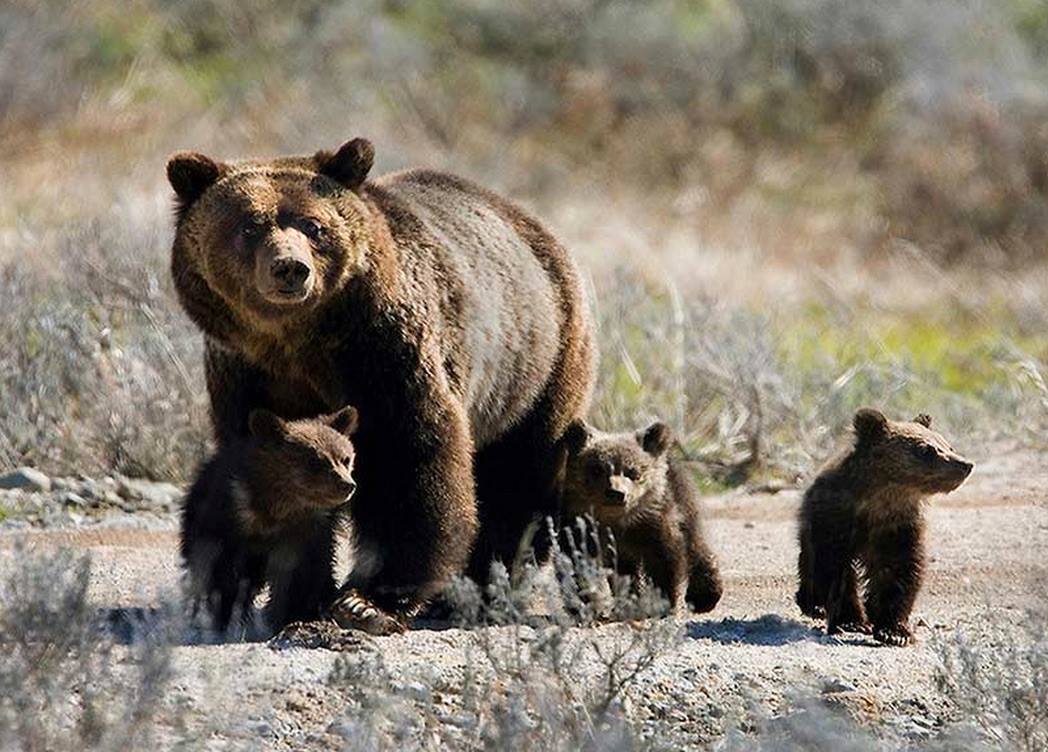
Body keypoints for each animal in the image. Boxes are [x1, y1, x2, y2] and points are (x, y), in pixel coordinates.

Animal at [163, 138, 591, 632]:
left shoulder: (385, 359)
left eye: (313, 225)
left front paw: (367, 600)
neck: (297, 343)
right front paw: (269, 592)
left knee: (517, 477)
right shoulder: (245, 376)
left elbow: (410, 462)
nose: (290, 269)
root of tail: (532, 224)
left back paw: (479, 590)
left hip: (536, 368)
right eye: (250, 225)